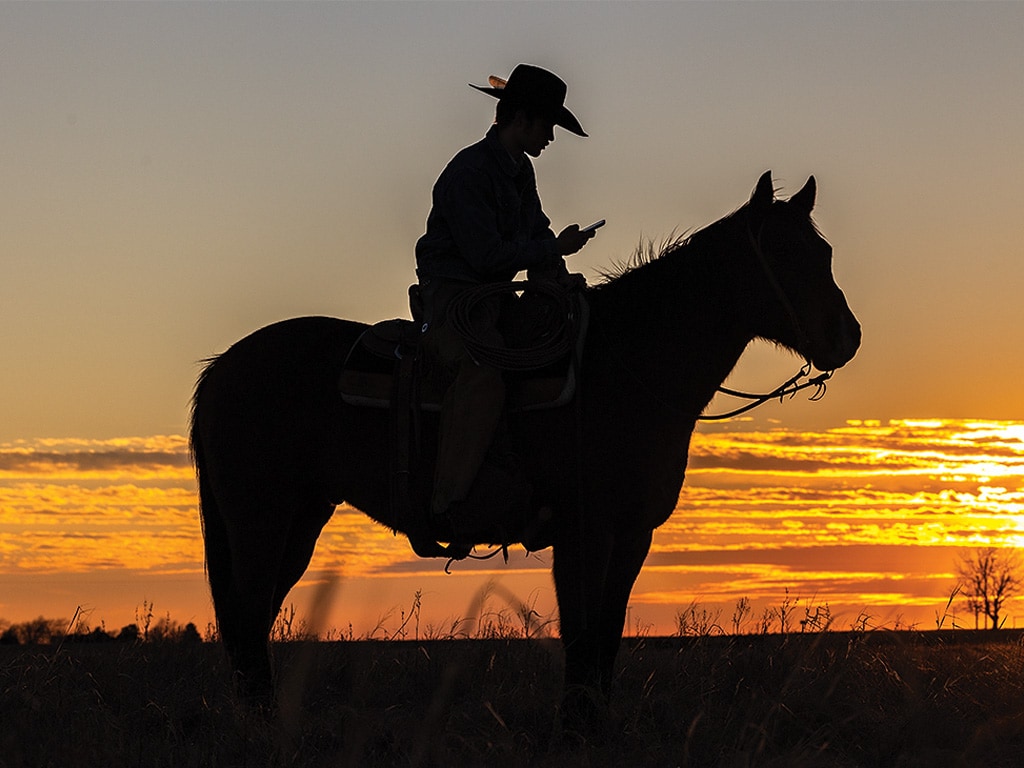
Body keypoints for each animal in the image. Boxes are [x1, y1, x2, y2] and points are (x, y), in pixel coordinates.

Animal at [188, 171, 860, 720]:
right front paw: (575, 728)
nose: (847, 338)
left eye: (824, 251)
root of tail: (221, 369)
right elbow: (582, 635)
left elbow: (607, 634)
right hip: (259, 520)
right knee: (248, 614)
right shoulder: (584, 530)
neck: (624, 366)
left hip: (300, 519)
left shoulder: (632, 534)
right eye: (784, 253)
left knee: (254, 618)